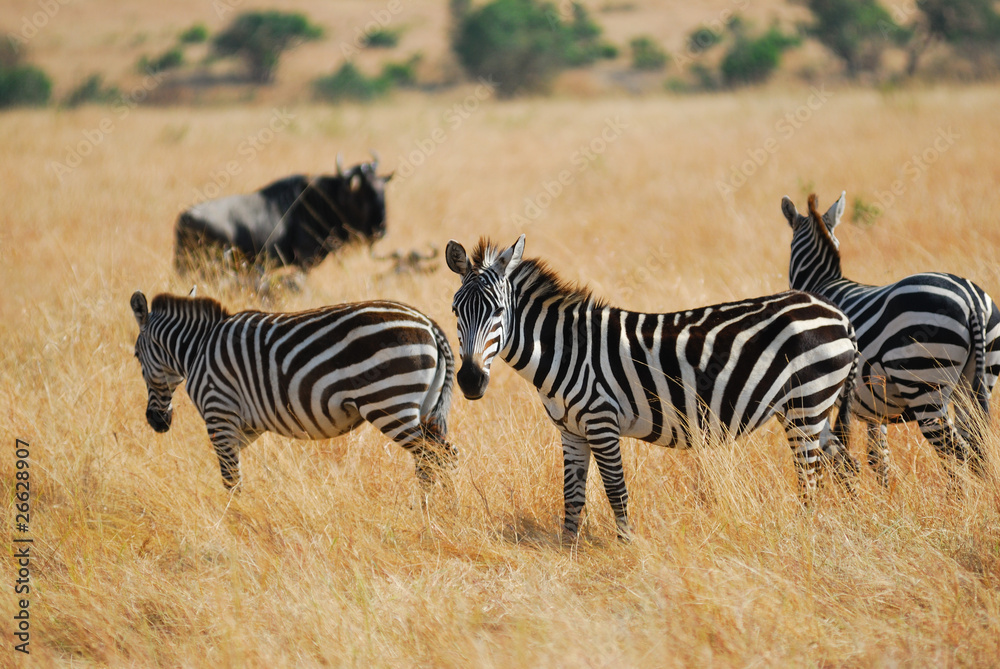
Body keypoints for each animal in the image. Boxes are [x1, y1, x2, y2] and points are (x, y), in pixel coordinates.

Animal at [130, 289, 456, 490]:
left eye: (135, 355)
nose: (156, 422)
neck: (197, 349)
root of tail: (429, 324)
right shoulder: (245, 427)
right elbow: (235, 474)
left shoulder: (219, 414)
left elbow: (231, 479)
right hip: (424, 408)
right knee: (438, 457)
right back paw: (439, 515)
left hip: (388, 403)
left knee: (436, 457)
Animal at [446, 234, 860, 538]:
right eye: (455, 311)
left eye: (500, 311)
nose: (470, 380)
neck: (566, 349)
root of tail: (837, 315)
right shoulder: (571, 431)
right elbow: (572, 496)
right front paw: (568, 551)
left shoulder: (601, 421)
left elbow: (616, 490)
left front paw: (626, 547)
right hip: (810, 408)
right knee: (843, 462)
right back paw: (848, 518)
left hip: (806, 405)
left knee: (810, 478)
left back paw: (803, 532)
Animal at [781, 192, 1000, 485]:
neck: (823, 282)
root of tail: (971, 297)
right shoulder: (875, 408)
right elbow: (878, 458)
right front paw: (884, 493)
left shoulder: (819, 395)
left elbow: (831, 458)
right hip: (978, 381)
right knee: (975, 449)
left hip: (925, 384)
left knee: (959, 452)